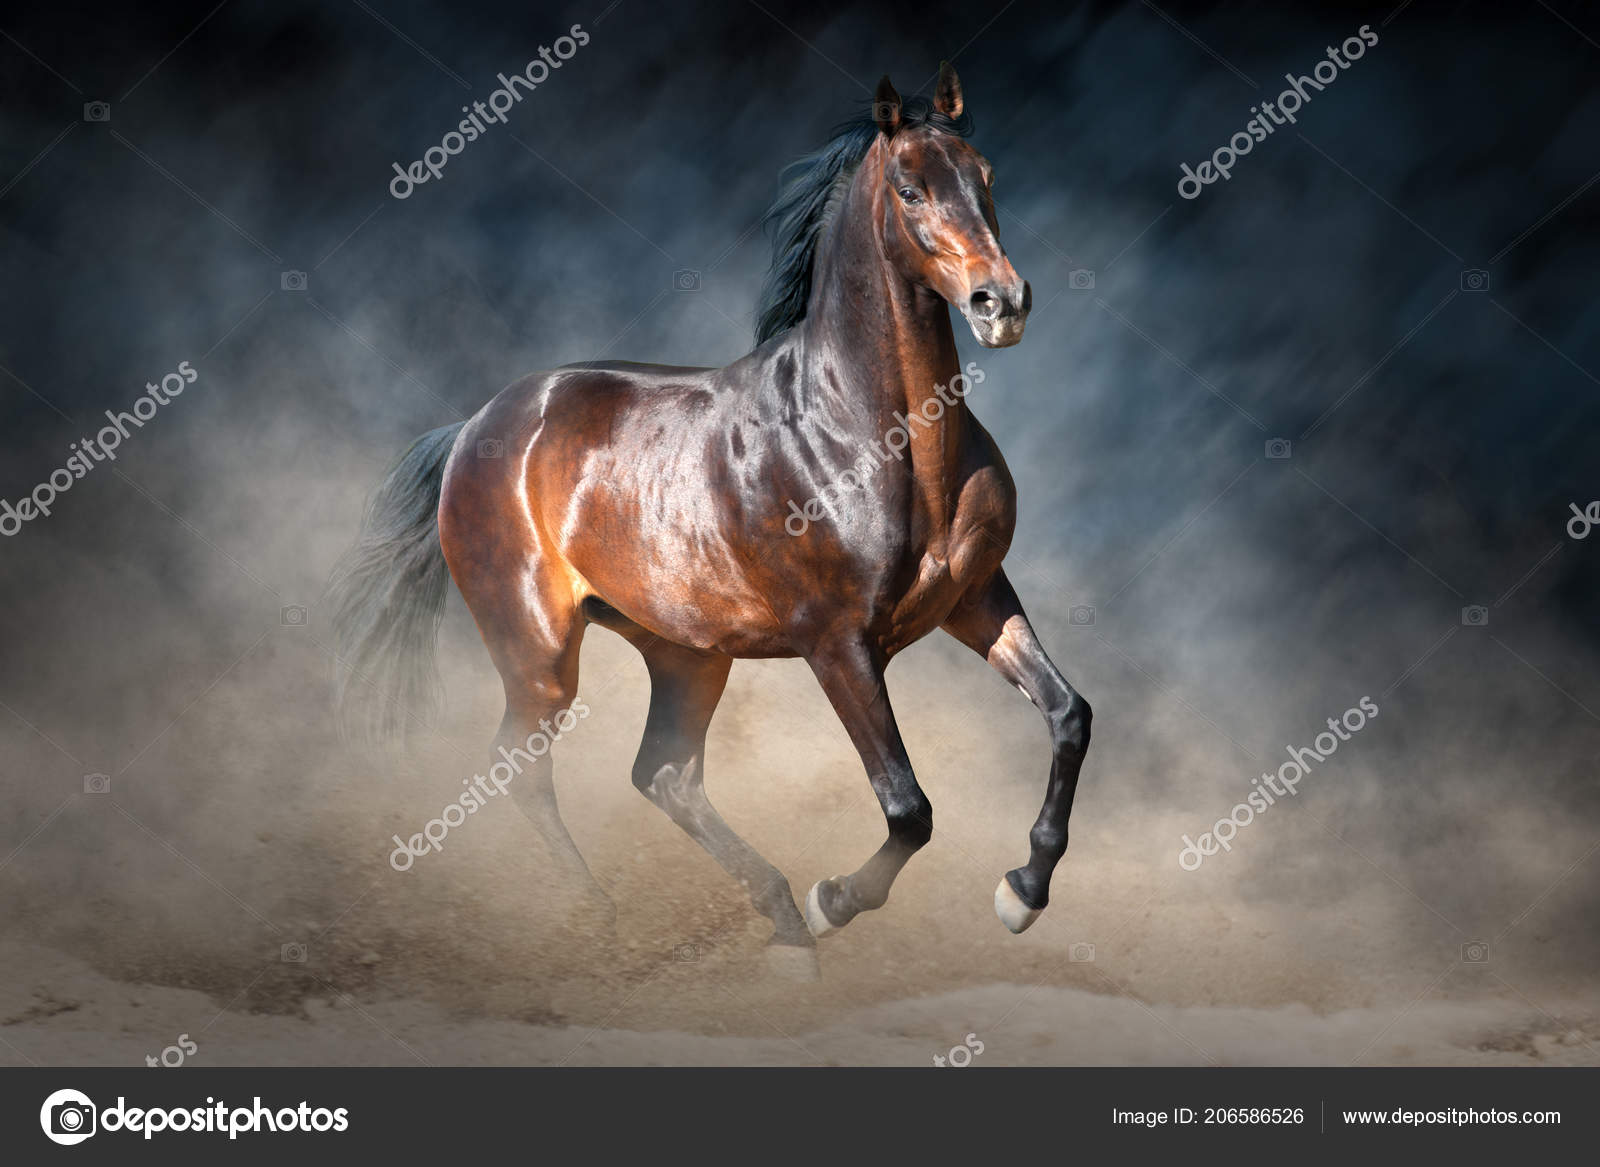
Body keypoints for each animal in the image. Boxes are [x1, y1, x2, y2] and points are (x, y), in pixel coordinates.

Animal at [329, 63, 1092, 975]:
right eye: (911, 188)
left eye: (986, 176)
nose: (1001, 302)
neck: (871, 432)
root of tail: (476, 425)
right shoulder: (838, 643)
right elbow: (908, 805)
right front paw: (835, 900)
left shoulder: (975, 599)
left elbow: (1069, 716)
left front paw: (1022, 893)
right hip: (539, 652)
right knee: (520, 766)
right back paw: (608, 919)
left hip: (687, 653)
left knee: (664, 774)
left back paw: (780, 924)